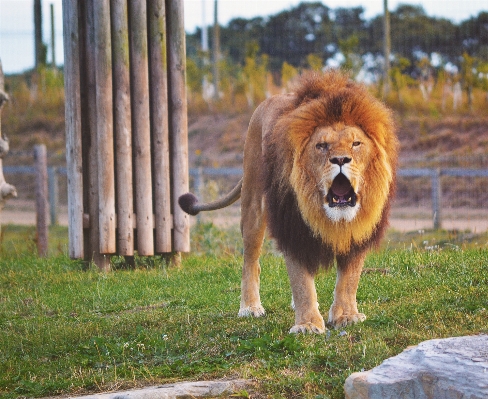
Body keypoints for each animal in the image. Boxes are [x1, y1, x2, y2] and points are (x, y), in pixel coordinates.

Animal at [179, 71, 396, 334]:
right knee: (251, 261)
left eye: (356, 144)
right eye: (321, 146)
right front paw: (307, 324)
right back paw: (250, 307)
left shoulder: (360, 229)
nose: (341, 159)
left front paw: (346, 315)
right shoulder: (292, 225)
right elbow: (301, 280)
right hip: (253, 204)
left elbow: (349, 277)